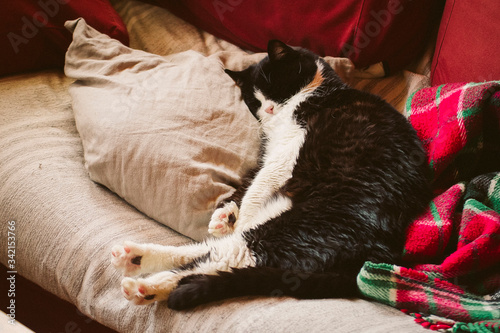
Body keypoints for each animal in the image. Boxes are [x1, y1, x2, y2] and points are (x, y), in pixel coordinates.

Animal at [111, 40, 432, 310]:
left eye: (274, 87)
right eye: (253, 101)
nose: (266, 109)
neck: (319, 90)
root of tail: (371, 259)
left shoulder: (289, 147)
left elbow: (258, 184)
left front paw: (236, 217)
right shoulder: (271, 151)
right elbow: (248, 183)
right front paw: (225, 215)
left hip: (300, 228)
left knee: (228, 257)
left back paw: (145, 285)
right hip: (284, 219)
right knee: (211, 251)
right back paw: (136, 257)